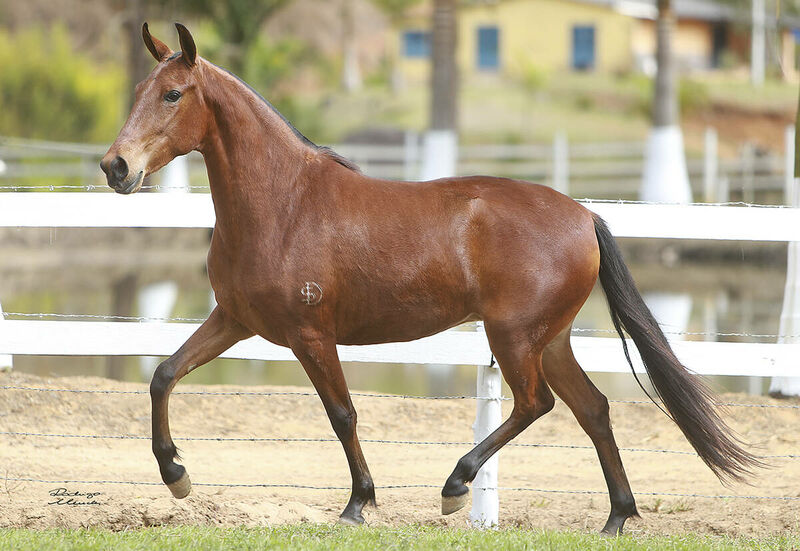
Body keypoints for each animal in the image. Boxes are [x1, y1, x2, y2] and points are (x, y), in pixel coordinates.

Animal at [100, 22, 756, 536]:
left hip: (513, 337)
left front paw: (359, 504)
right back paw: (617, 517)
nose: (115, 167)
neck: (284, 203)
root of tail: (583, 215)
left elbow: (342, 414)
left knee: (535, 403)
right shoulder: (235, 320)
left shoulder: (311, 336)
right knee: (592, 409)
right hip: (550, 339)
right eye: (139, 91)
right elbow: (162, 375)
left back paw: (456, 487)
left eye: (172, 94)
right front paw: (177, 476)